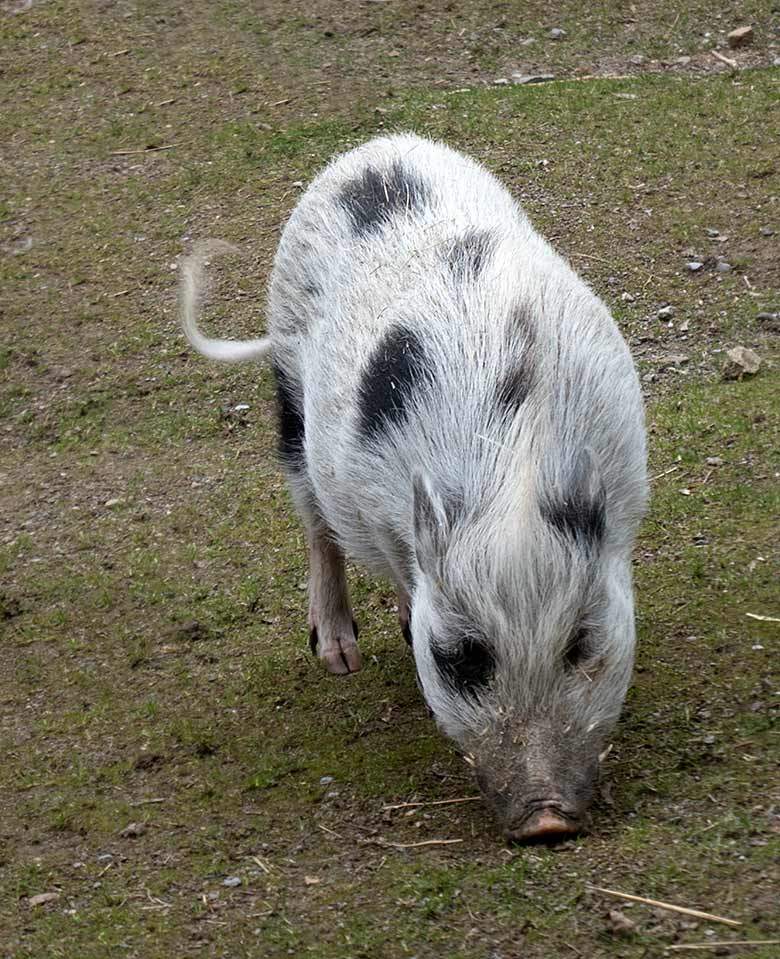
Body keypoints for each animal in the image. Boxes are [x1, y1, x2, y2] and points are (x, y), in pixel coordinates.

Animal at [180, 133, 648, 840]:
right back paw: (338, 656)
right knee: (316, 525)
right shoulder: (381, 512)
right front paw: (401, 646)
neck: (514, 473)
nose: (546, 821)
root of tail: (373, 149)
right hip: (289, 394)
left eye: (582, 643)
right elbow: (395, 570)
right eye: (463, 656)